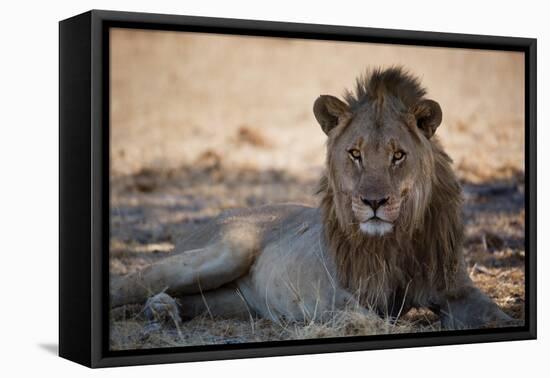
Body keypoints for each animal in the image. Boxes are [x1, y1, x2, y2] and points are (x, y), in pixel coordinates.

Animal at [110, 66, 516, 330]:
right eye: (355, 154)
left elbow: (497, 316)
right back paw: (158, 311)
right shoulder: (334, 293)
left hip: (229, 300)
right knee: (131, 282)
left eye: (398, 155)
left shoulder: (455, 289)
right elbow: (371, 320)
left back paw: (165, 311)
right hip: (223, 253)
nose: (373, 203)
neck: (396, 239)